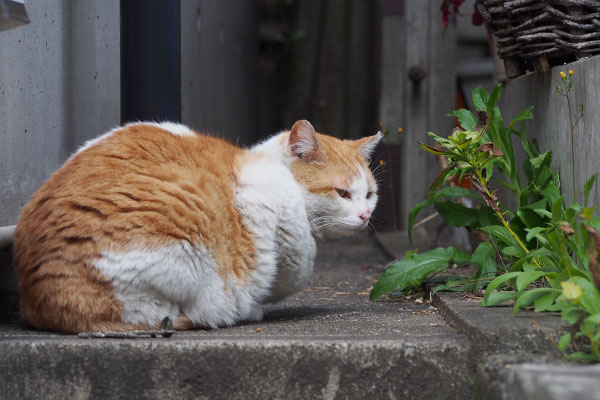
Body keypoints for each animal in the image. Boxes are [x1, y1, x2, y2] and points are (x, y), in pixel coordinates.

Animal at [14, 120, 382, 332]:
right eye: (343, 193)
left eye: (370, 194)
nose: (365, 215)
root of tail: (48, 295)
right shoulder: (270, 203)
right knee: (190, 311)